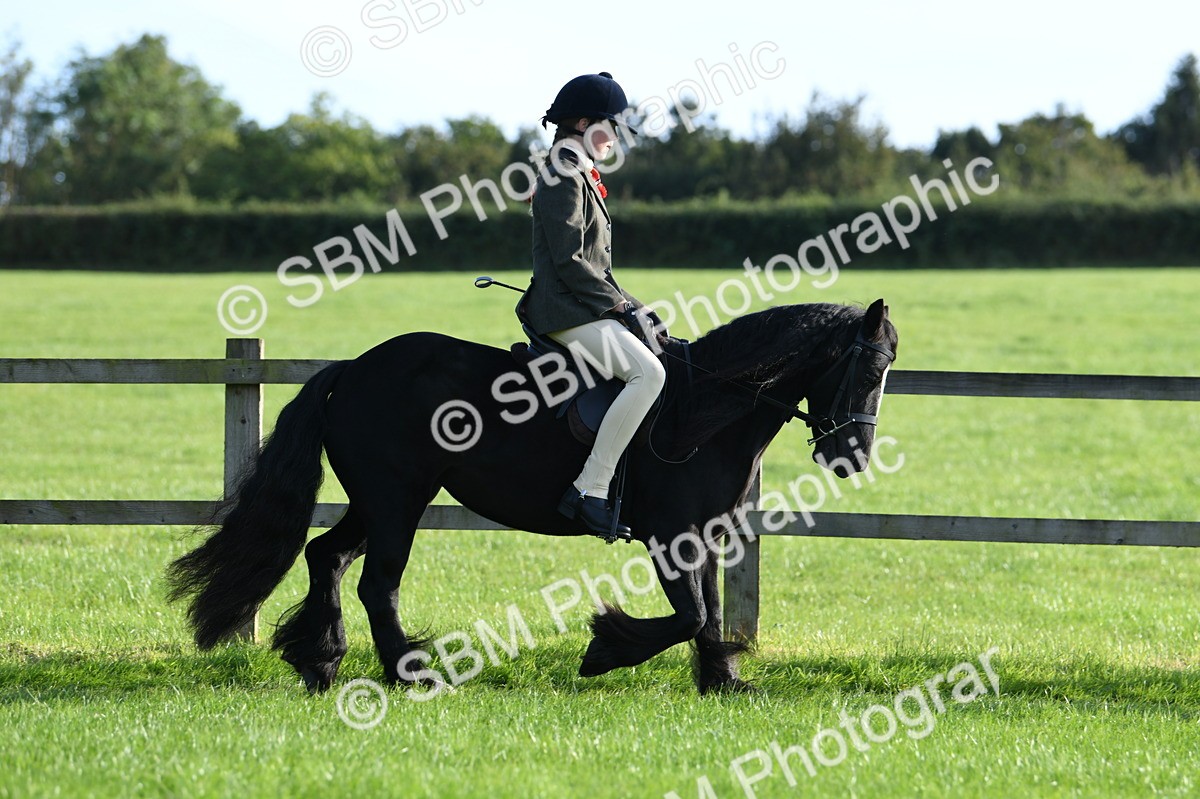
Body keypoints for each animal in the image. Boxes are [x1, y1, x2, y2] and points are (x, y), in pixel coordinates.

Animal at [167, 298, 898, 694]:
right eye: (867, 366)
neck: (705, 409)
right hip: (398, 500)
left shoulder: (705, 534)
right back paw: (407, 671)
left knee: (327, 556)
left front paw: (723, 680)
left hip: (378, 500)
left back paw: (319, 658)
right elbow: (690, 615)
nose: (852, 456)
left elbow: (711, 612)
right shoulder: (669, 536)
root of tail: (352, 369)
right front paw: (606, 649)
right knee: (376, 581)